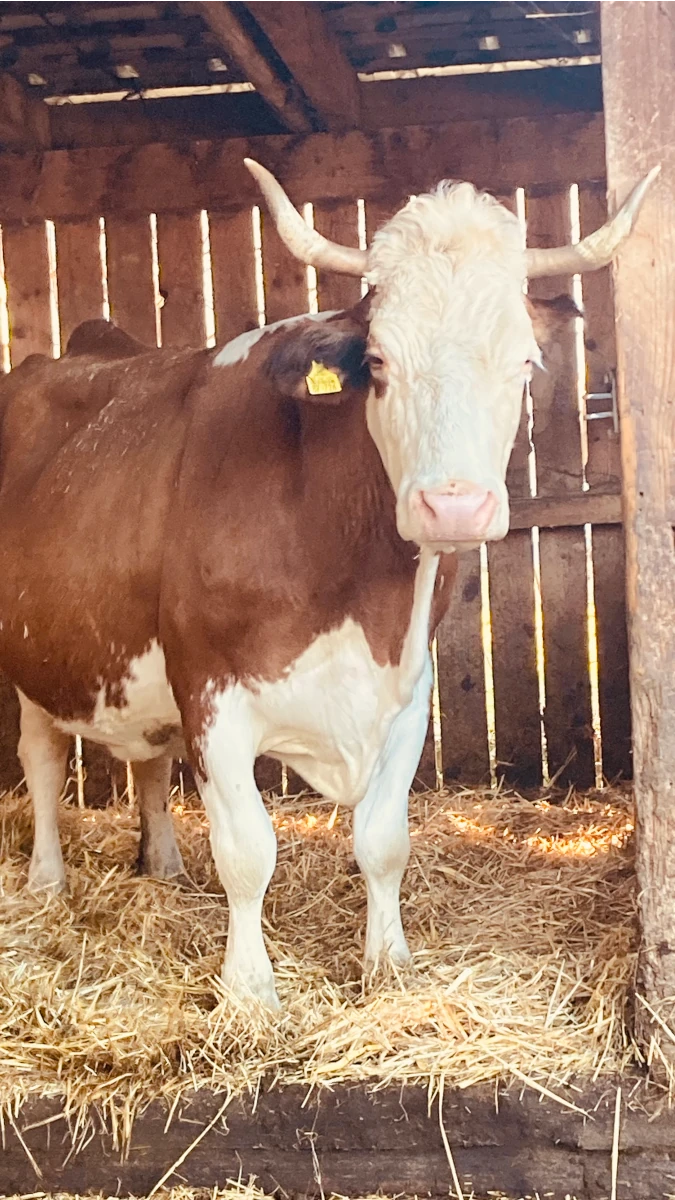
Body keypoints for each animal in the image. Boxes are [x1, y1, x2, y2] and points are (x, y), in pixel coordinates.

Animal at [0, 161, 656, 1009]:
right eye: (377, 363)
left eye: (521, 362)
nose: (453, 505)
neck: (354, 586)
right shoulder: (210, 688)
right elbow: (247, 850)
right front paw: (249, 992)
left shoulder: (406, 688)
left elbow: (383, 840)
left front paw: (389, 963)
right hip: (33, 656)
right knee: (43, 758)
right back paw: (47, 880)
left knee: (147, 758)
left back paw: (165, 870)